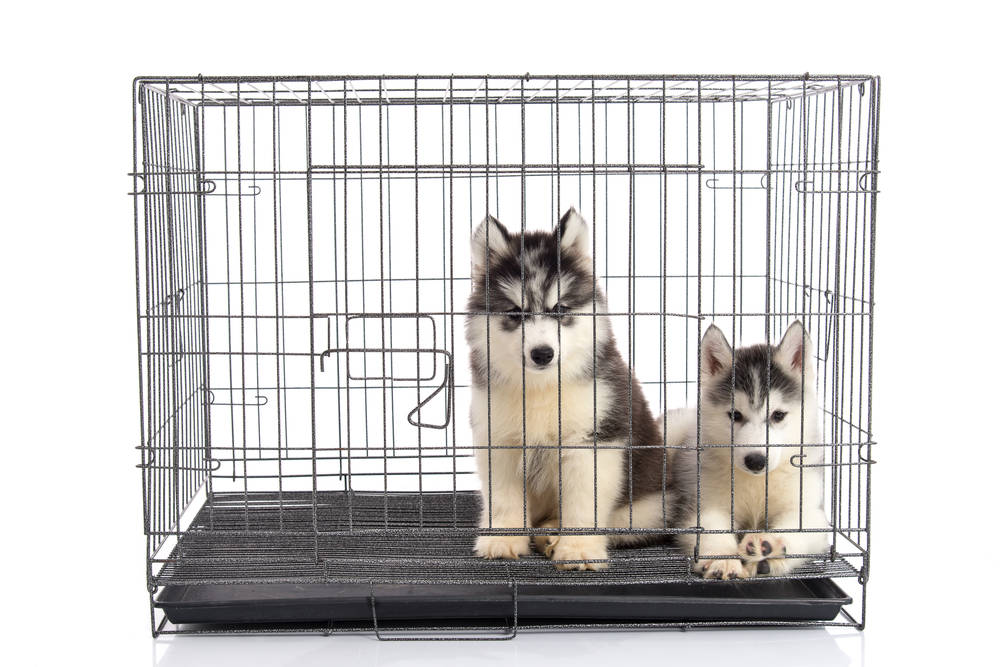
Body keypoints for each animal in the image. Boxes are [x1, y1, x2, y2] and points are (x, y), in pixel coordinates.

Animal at [464, 211, 684, 572]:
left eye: (559, 309)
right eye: (515, 312)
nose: (542, 354)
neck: (542, 388)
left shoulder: (591, 443)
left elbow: (582, 505)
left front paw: (578, 550)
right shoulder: (500, 440)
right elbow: (504, 499)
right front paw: (503, 539)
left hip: (648, 509)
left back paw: (553, 534)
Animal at [672, 324, 836, 580]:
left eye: (778, 415)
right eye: (735, 415)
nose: (756, 460)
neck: (758, 482)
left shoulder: (810, 510)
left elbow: (801, 528)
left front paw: (768, 546)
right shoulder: (701, 504)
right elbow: (710, 527)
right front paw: (723, 559)